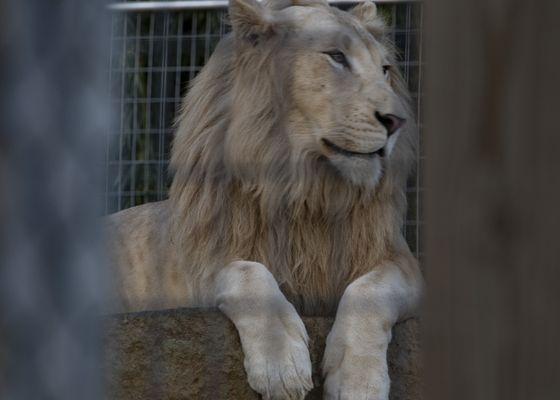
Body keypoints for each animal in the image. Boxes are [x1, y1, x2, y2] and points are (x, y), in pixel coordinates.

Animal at [107, 0, 424, 398]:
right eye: (336, 56)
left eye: (385, 69)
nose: (396, 121)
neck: (308, 189)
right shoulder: (202, 264)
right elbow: (249, 273)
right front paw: (281, 368)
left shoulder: (402, 263)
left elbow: (370, 291)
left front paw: (359, 381)